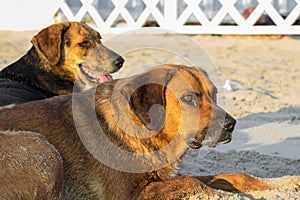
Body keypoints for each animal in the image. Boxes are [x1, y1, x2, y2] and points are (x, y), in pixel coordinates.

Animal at [0, 65, 236, 199]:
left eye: (214, 94)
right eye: (188, 98)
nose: (231, 124)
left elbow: (228, 176)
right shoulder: (129, 193)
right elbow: (192, 181)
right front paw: (221, 194)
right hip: (45, 151)